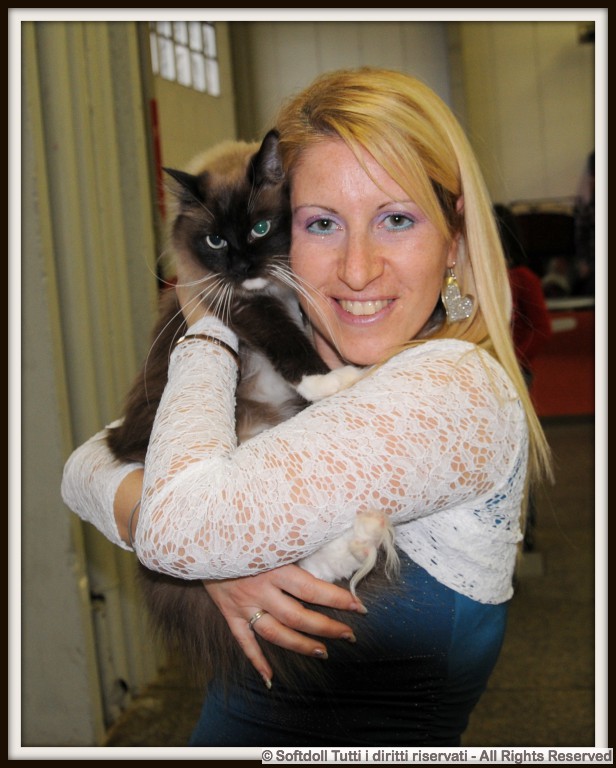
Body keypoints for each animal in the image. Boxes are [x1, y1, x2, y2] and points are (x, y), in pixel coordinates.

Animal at [107, 129, 399, 689]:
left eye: (261, 227)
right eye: (216, 242)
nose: (242, 267)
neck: (272, 287)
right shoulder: (238, 306)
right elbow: (289, 341)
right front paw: (335, 380)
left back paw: (362, 539)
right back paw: (364, 539)